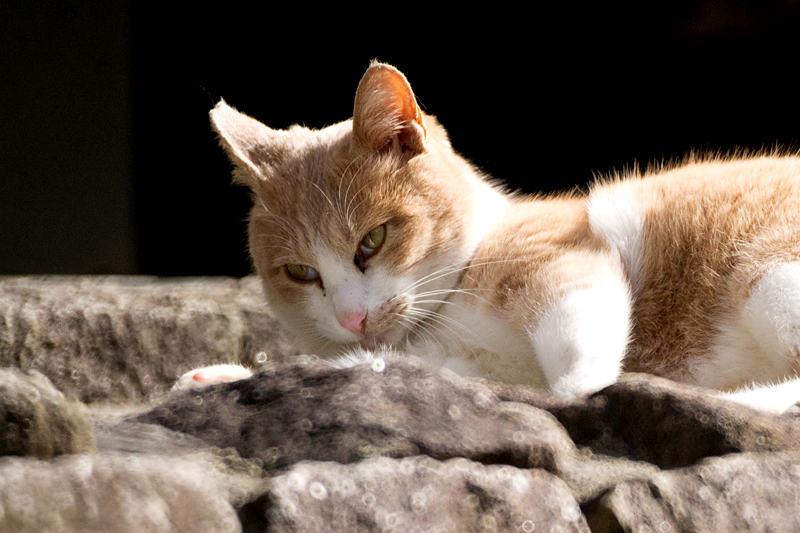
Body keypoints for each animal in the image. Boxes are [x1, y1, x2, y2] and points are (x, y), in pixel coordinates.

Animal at [181, 60, 800, 414]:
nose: (352, 319)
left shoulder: (561, 255)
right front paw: (219, 378)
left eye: (373, 240)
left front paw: (583, 389)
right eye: (300, 273)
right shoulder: (457, 370)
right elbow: (366, 368)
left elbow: (576, 339)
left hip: (767, 275)